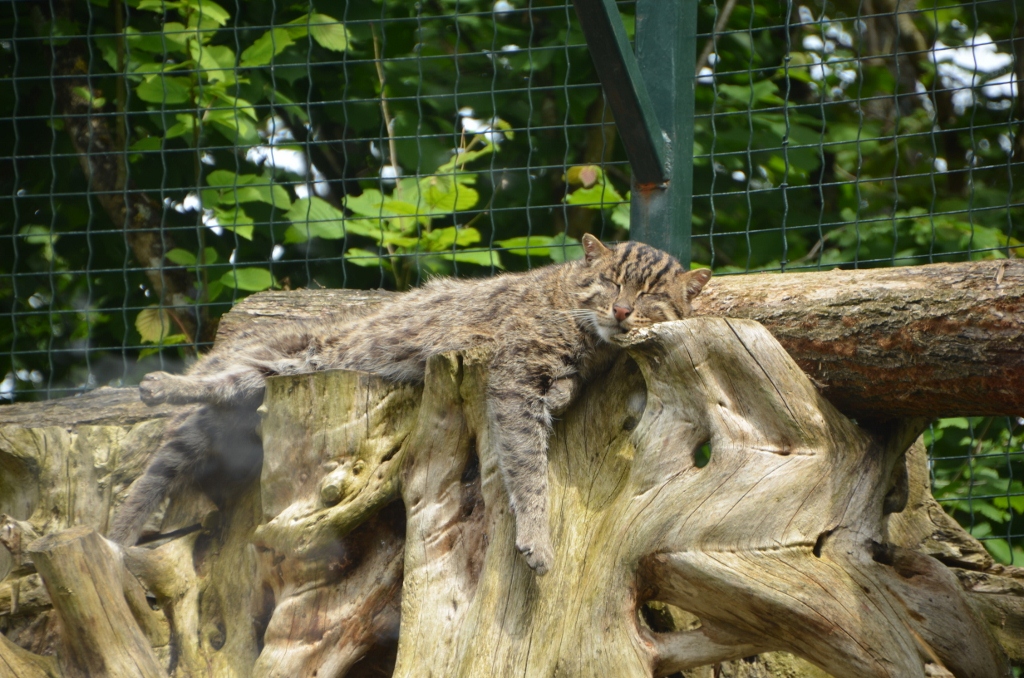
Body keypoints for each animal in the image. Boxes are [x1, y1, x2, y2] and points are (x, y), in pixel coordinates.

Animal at [108, 236, 708, 577]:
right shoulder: (513, 378)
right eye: (609, 281)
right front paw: (537, 536)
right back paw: (160, 387)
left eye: (651, 295)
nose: (623, 310)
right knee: (205, 383)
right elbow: (529, 469)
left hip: (278, 372)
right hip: (283, 354)